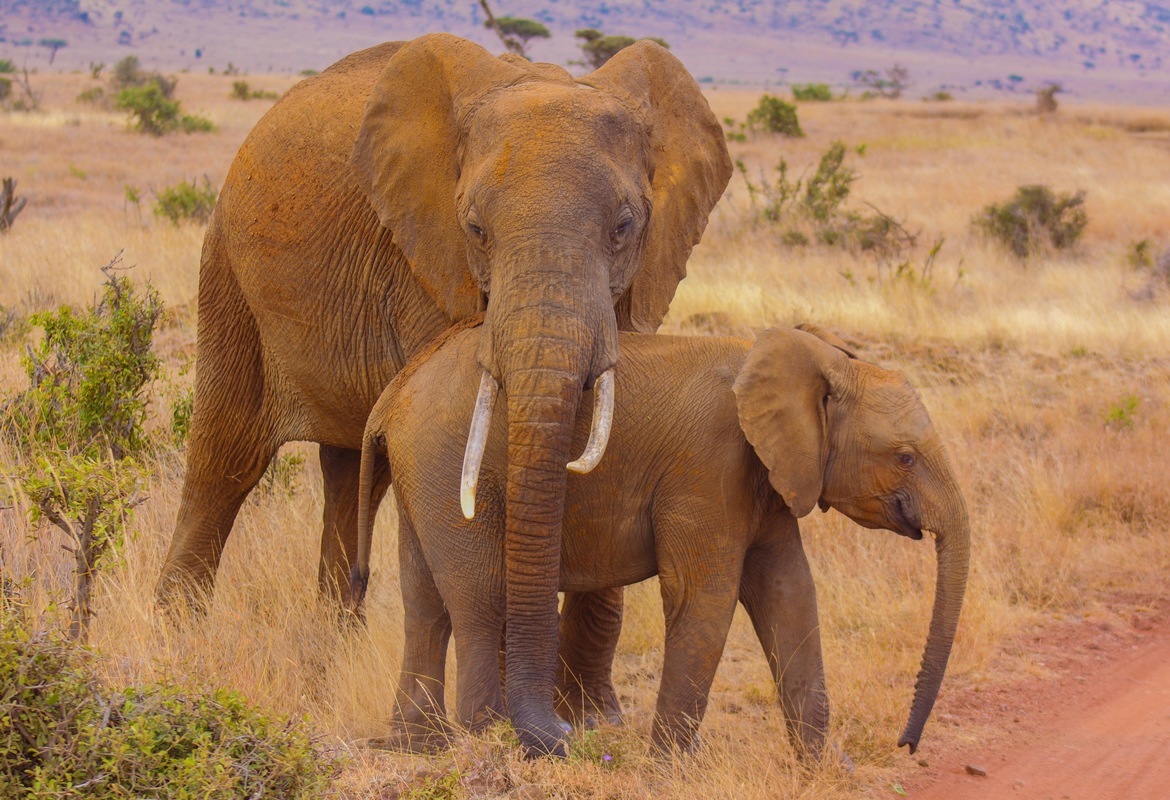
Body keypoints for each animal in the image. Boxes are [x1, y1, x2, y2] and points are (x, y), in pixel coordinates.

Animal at [153, 34, 732, 756]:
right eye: (475, 228)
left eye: (624, 226)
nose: (558, 733)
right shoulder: (424, 263)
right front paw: (515, 726)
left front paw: (596, 721)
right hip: (227, 269)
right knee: (225, 459)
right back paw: (179, 648)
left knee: (349, 477)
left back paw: (330, 662)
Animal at [353, 322, 971, 759]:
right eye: (905, 458)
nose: (905, 745)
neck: (821, 363)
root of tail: (393, 394)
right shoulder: (709, 464)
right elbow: (707, 598)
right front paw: (669, 769)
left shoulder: (767, 480)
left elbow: (789, 594)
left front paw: (825, 769)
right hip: (451, 462)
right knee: (480, 598)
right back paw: (487, 736)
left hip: (421, 473)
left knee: (424, 603)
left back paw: (421, 748)